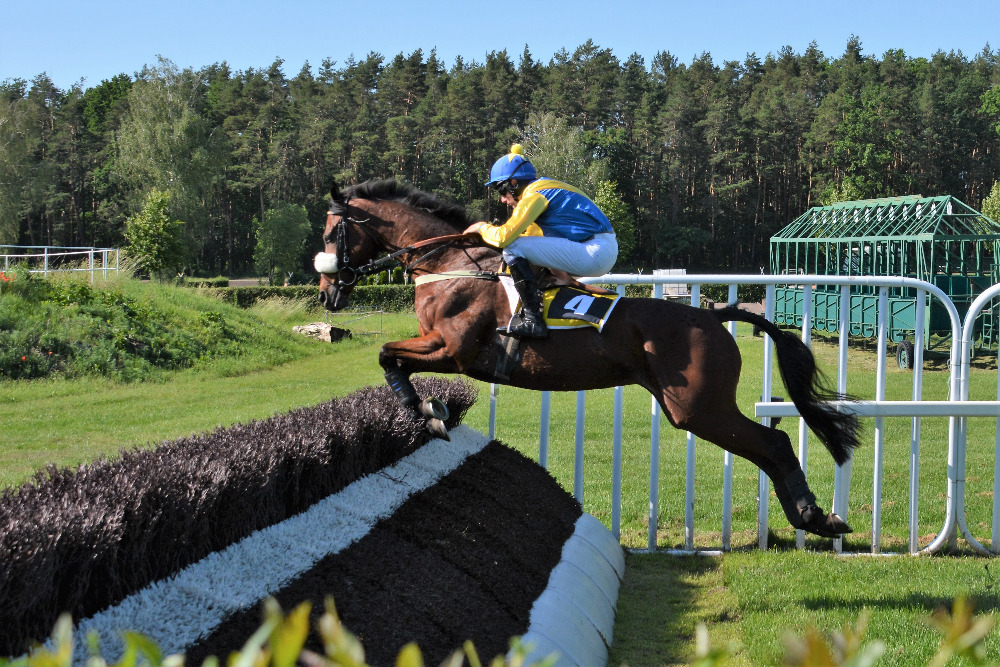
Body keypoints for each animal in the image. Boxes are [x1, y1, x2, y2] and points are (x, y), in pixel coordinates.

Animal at [316, 177, 864, 536]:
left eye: (328, 234)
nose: (326, 293)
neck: (449, 264)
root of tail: (715, 316)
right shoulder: (442, 348)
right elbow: (392, 357)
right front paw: (429, 409)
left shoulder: (453, 349)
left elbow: (388, 356)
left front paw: (426, 410)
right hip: (694, 407)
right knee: (769, 448)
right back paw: (811, 517)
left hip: (698, 407)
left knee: (774, 444)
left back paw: (816, 518)